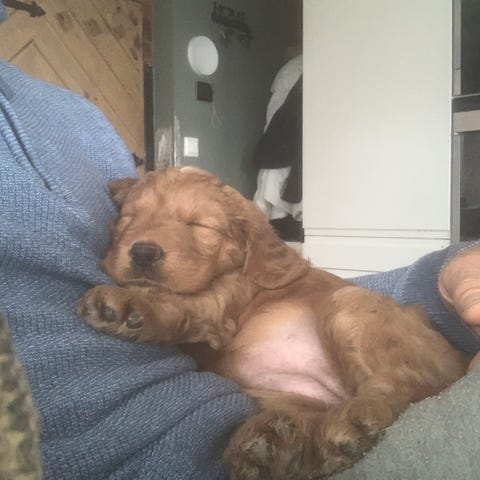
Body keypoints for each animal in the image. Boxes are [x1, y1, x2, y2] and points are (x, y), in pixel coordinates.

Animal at [78, 167, 468, 479]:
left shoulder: (221, 306)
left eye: (198, 225)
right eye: (129, 219)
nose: (143, 253)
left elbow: (180, 301)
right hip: (279, 395)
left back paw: (348, 425)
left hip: (347, 304)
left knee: (398, 392)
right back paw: (278, 447)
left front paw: (130, 303)